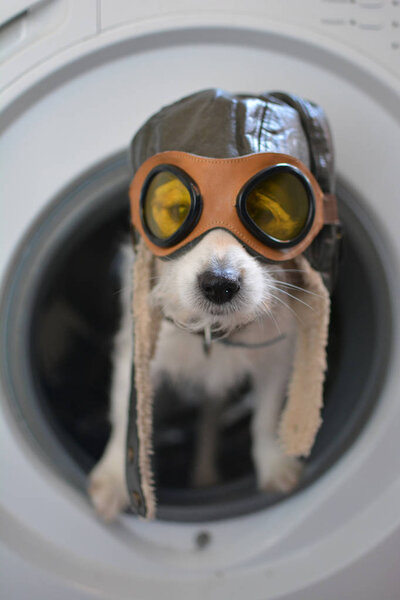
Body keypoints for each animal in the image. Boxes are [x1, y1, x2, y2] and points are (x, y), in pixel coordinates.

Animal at [89, 230, 304, 520]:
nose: (220, 284)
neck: (210, 330)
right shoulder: (135, 361)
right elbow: (127, 421)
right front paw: (113, 480)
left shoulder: (275, 361)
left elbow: (266, 418)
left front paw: (274, 465)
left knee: (209, 421)